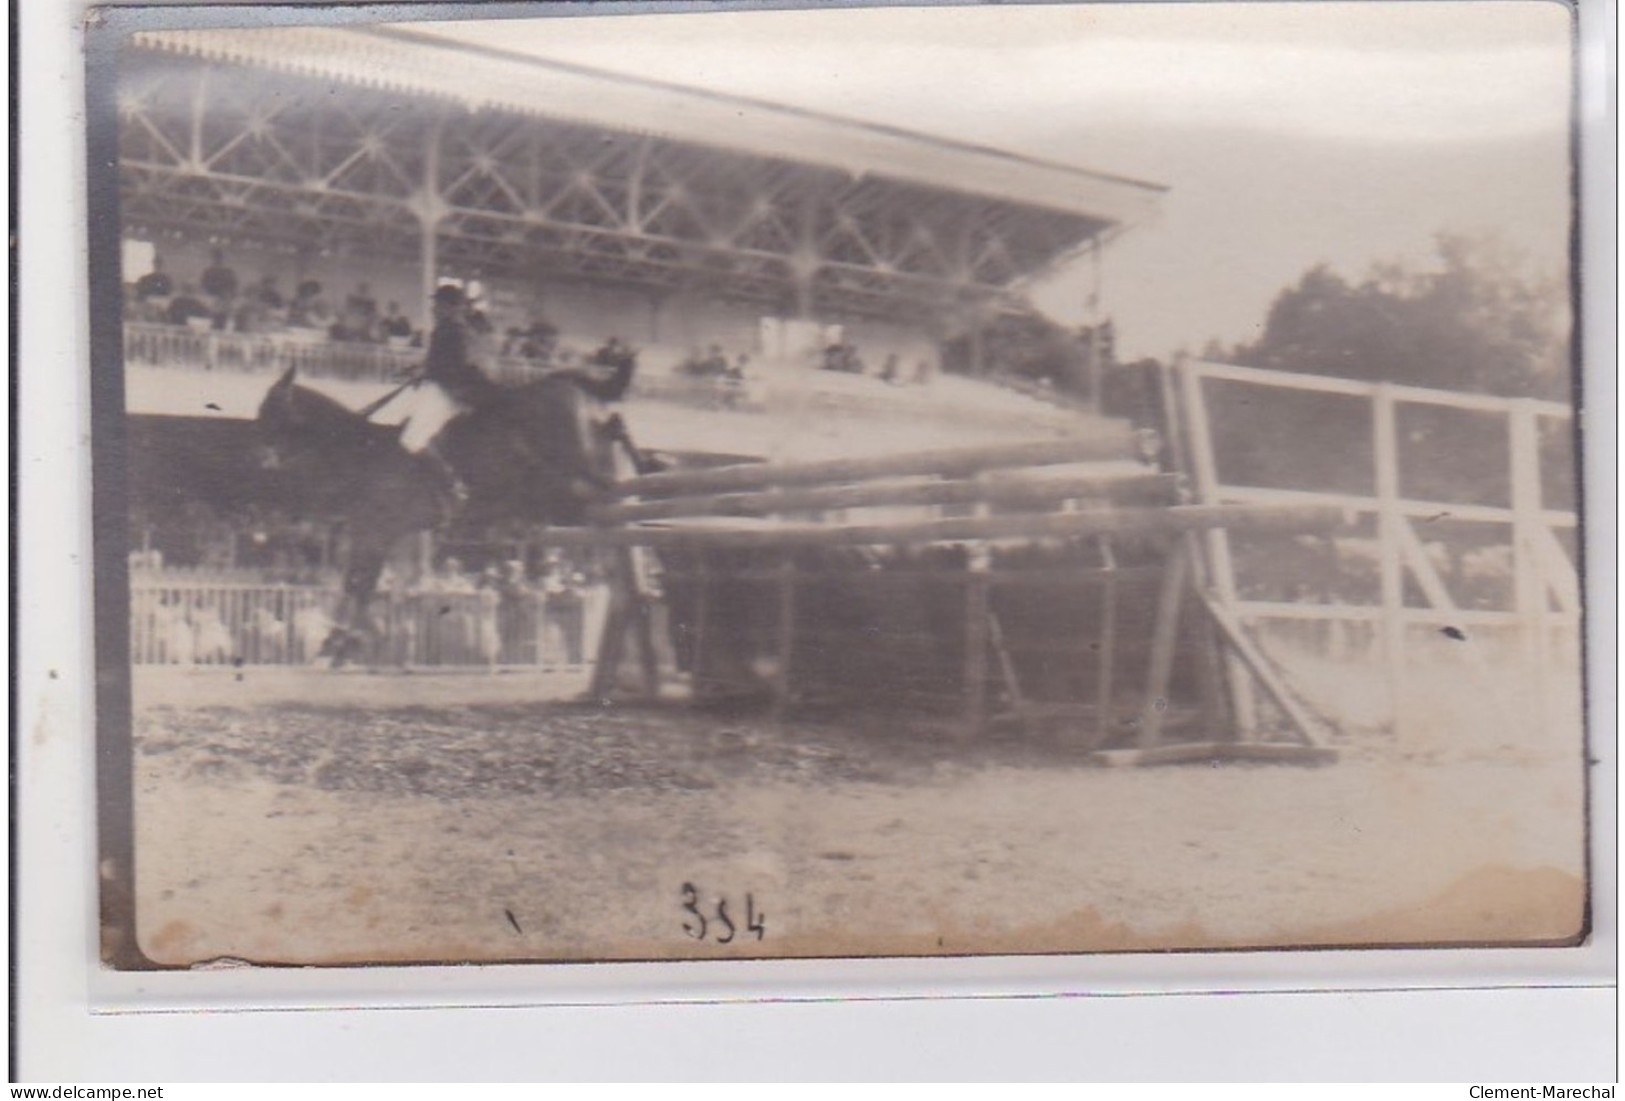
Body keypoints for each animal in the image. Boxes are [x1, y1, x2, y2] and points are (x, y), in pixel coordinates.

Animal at [251, 349, 633, 669]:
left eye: (270, 410)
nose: (260, 460)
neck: (362, 452)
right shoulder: (377, 533)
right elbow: (362, 584)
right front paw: (347, 640)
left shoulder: (376, 532)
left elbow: (359, 584)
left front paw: (344, 642)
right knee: (599, 489)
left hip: (576, 466)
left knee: (604, 492)